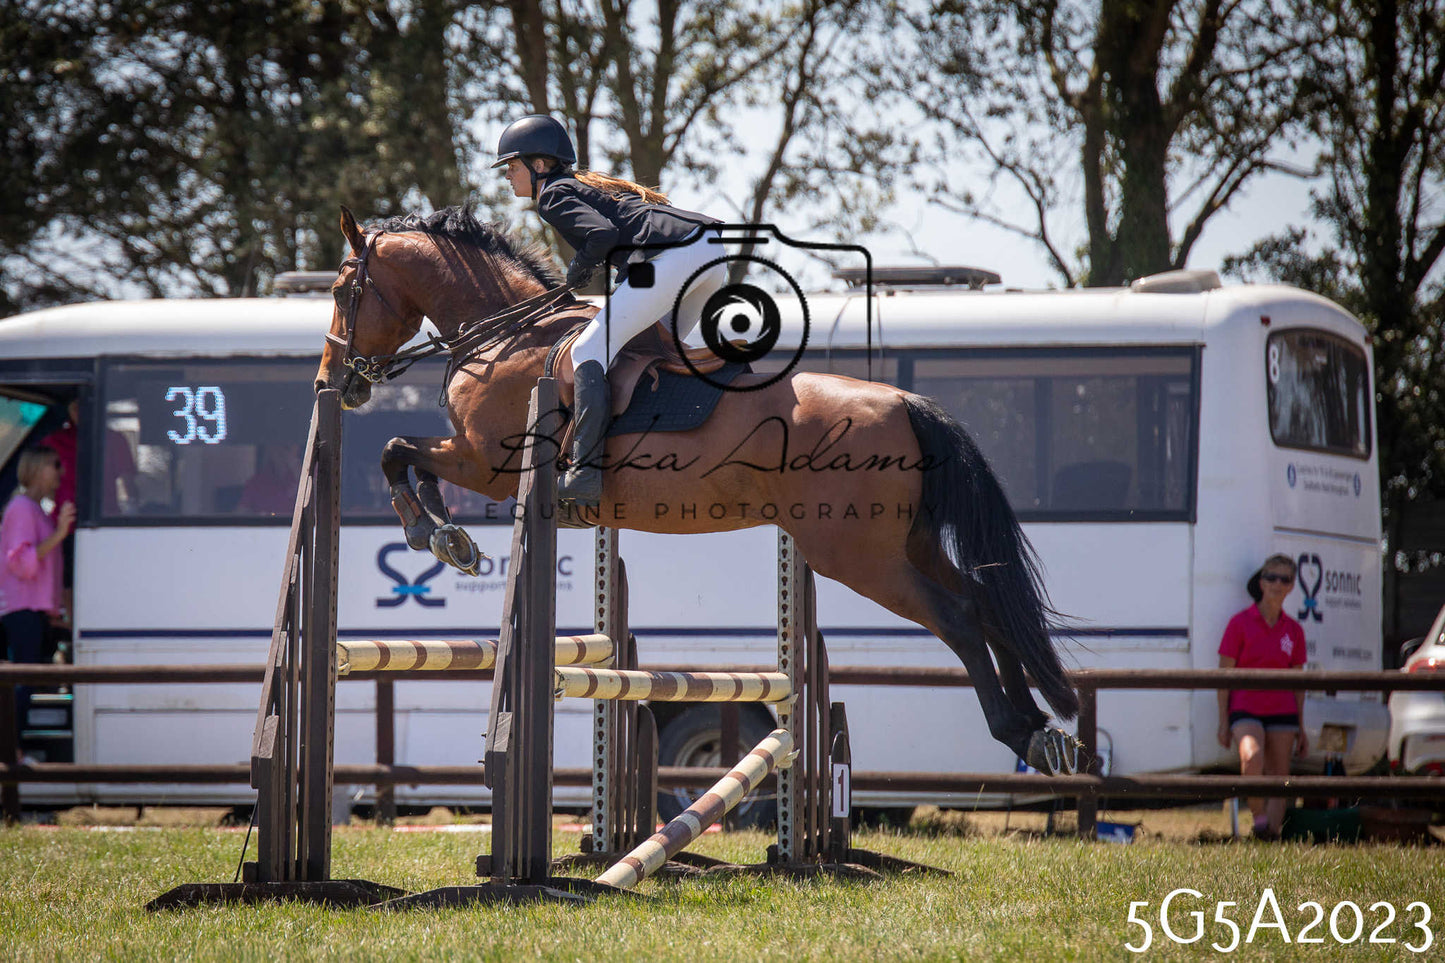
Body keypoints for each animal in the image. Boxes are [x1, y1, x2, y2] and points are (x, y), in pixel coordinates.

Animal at [314, 205, 1083, 774]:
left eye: (342, 290)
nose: (334, 382)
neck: (504, 338)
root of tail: (902, 403)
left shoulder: (485, 464)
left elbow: (396, 451)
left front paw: (434, 534)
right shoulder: (476, 463)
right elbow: (408, 457)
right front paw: (448, 537)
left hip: (857, 555)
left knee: (957, 616)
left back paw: (1015, 730)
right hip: (909, 541)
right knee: (986, 602)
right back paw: (1043, 731)